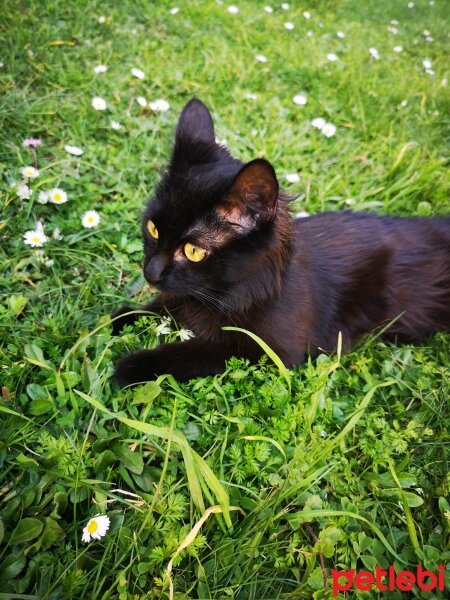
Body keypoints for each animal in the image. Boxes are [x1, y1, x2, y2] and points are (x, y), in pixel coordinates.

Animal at [112, 95, 450, 382]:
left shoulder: (270, 351)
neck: (230, 291)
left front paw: (131, 365)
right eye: (153, 228)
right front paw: (116, 319)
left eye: (193, 251)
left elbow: (193, 352)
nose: (150, 272)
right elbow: (155, 306)